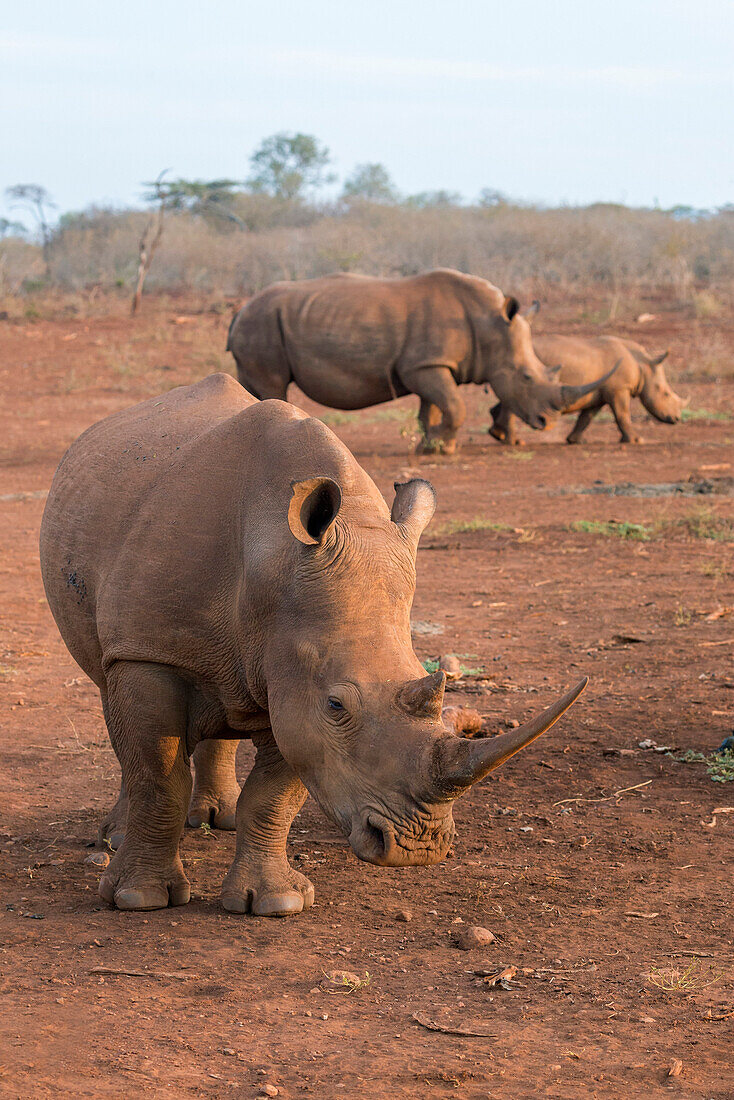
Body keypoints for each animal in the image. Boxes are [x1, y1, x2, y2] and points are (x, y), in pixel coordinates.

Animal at [41, 374, 585, 915]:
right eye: (337, 705)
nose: (416, 849)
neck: (274, 563)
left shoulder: (290, 672)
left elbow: (275, 794)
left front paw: (274, 902)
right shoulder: (150, 651)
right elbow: (158, 777)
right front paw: (138, 898)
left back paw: (220, 821)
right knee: (112, 696)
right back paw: (115, 838)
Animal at [227, 270, 616, 455]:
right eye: (526, 378)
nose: (548, 423)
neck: (489, 326)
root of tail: (240, 310)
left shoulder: (428, 365)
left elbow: (432, 408)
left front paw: (429, 445)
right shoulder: (425, 365)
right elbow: (455, 405)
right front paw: (444, 449)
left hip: (261, 323)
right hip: (263, 323)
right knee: (273, 386)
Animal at [490, 332, 686, 444]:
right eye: (665, 394)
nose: (676, 419)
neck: (643, 364)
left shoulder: (598, 392)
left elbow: (587, 417)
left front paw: (576, 440)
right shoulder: (619, 389)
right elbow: (622, 414)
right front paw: (636, 440)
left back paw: (498, 435)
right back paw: (514, 442)